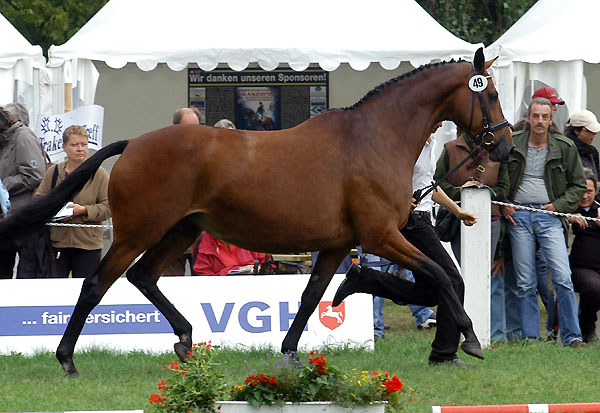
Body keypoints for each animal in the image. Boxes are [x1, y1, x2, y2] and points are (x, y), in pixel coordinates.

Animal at [1, 46, 510, 374]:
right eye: (491, 94)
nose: (503, 145)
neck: (373, 138)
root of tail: (134, 144)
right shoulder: (381, 235)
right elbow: (440, 274)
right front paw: (470, 338)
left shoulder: (337, 245)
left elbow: (310, 297)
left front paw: (290, 351)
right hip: (138, 232)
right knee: (96, 283)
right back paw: (67, 359)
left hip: (180, 231)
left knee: (142, 277)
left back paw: (185, 340)